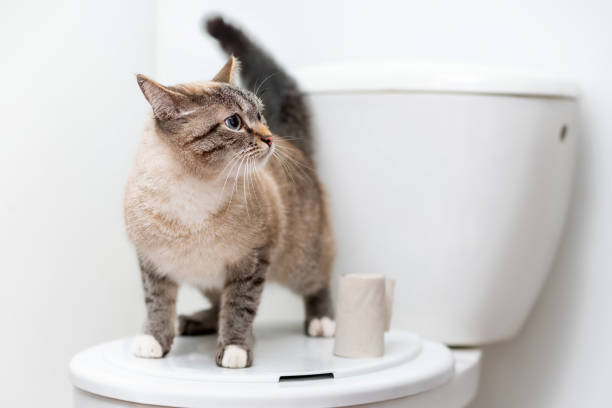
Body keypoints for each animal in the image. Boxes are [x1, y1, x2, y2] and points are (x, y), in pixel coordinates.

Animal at [125, 15, 334, 368]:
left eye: (260, 115)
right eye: (234, 122)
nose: (268, 138)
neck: (192, 191)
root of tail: (293, 144)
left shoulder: (250, 262)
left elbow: (239, 308)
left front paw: (235, 349)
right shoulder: (152, 263)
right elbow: (157, 305)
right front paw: (155, 341)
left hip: (300, 262)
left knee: (320, 281)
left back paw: (322, 321)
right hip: (204, 279)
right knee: (214, 304)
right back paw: (192, 322)